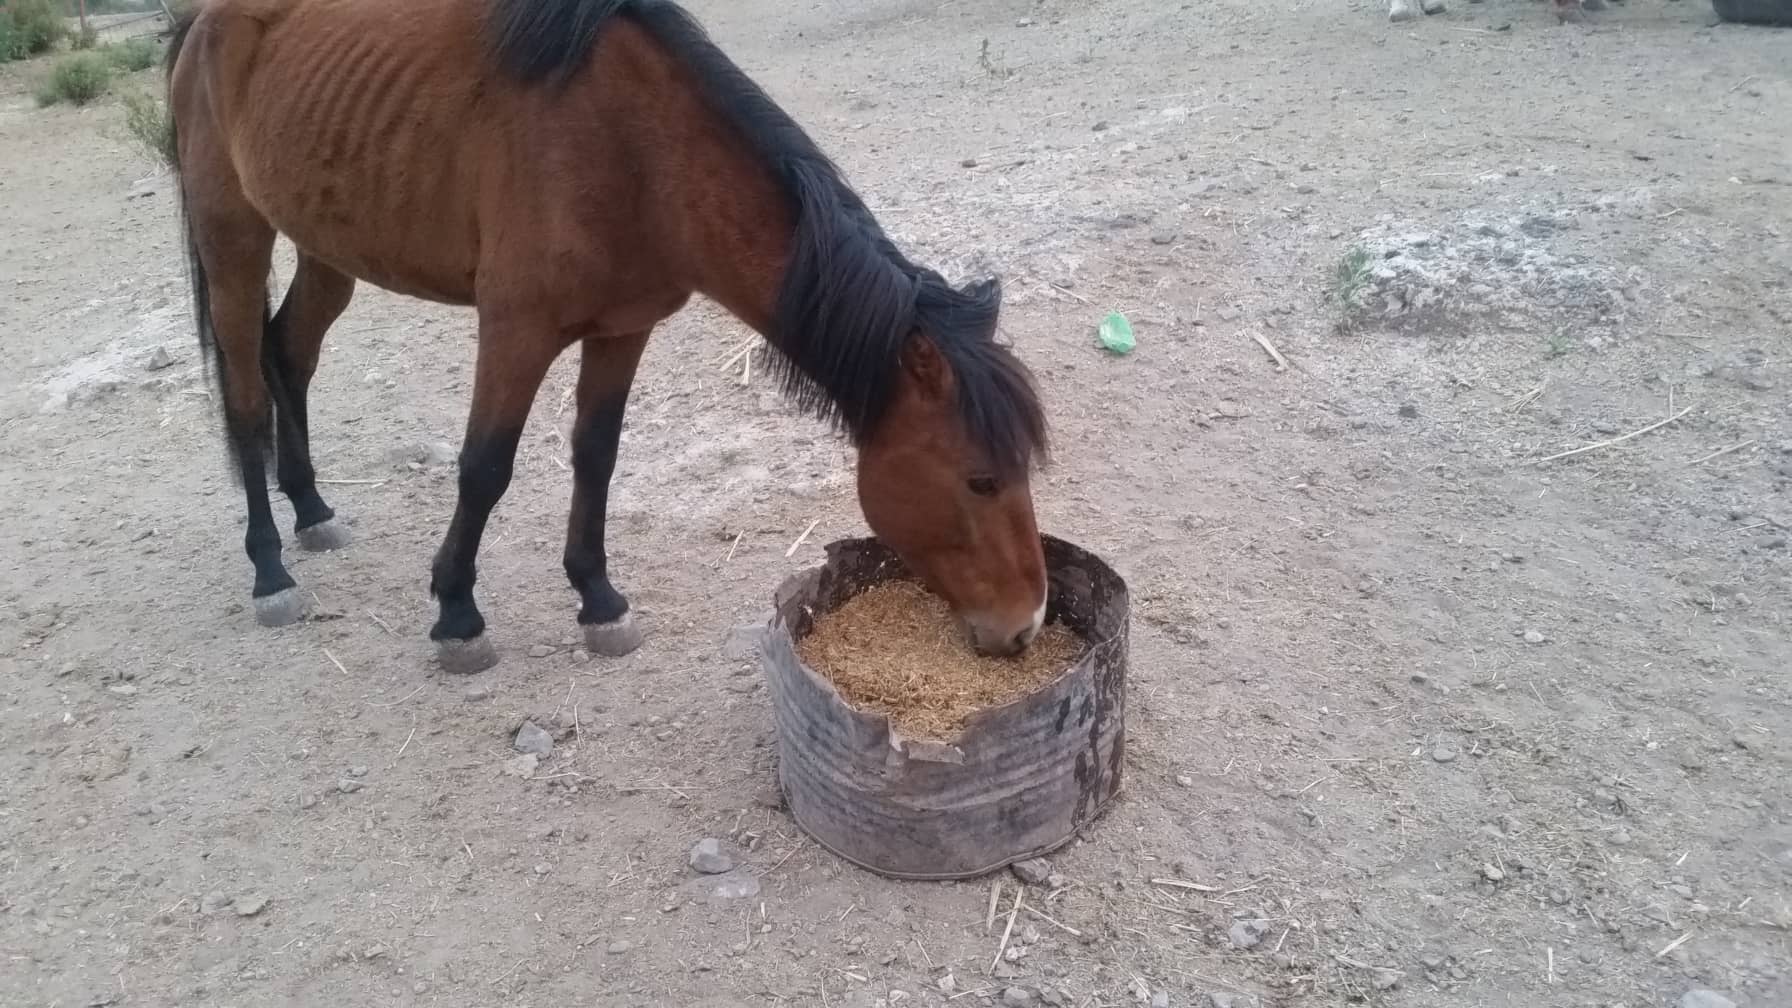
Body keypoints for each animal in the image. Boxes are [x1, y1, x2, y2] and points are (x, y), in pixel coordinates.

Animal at [164, 1, 1046, 674]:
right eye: (979, 480)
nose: (1026, 624)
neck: (633, 148)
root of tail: (203, 22)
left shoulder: (624, 331)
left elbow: (596, 457)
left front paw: (597, 600)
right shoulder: (514, 330)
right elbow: (484, 467)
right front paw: (457, 613)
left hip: (327, 245)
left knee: (290, 353)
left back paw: (311, 508)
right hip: (233, 237)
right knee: (245, 395)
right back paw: (270, 568)